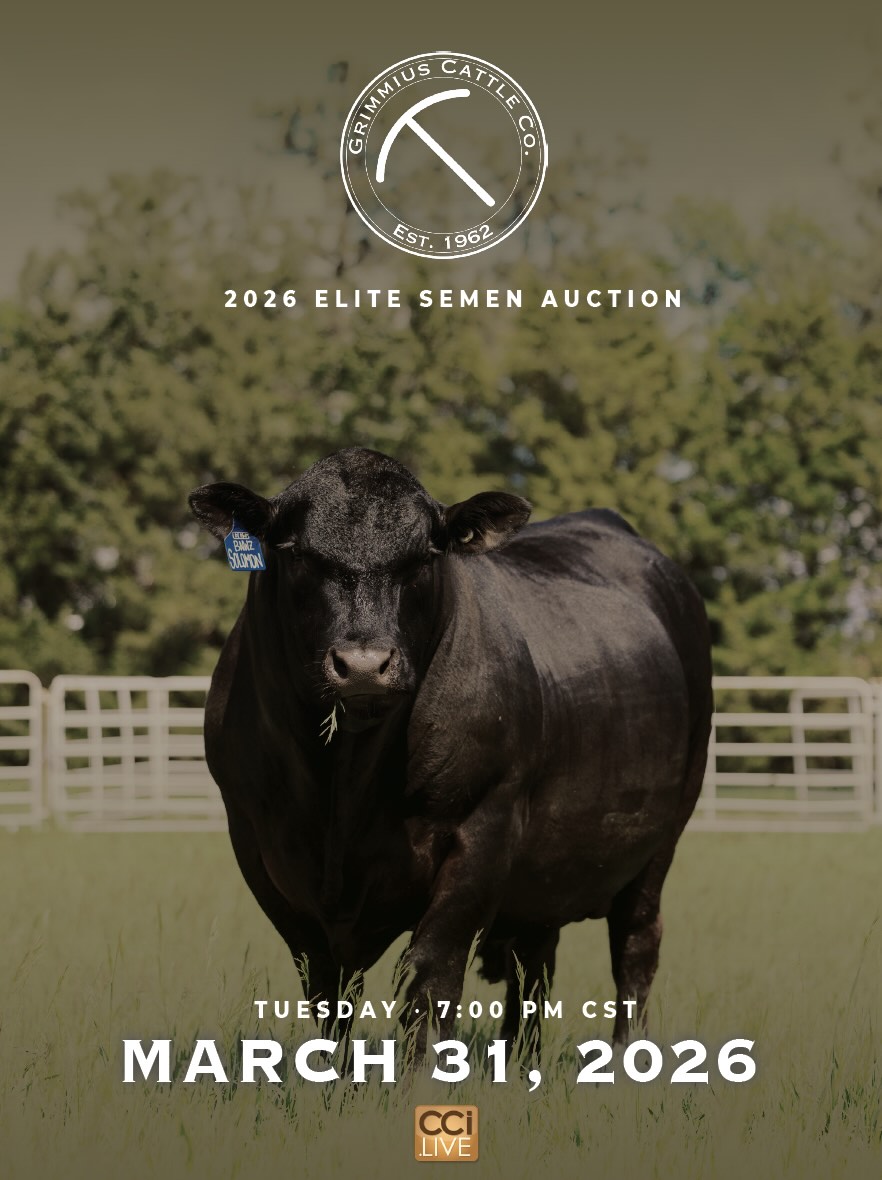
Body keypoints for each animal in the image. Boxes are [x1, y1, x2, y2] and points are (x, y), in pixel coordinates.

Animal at [188, 446, 712, 1059]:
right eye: (292, 549)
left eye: (428, 553)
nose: (363, 664)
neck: (344, 778)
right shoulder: (257, 842)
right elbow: (326, 987)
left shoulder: (484, 825)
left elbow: (430, 972)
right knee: (534, 961)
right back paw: (518, 1059)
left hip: (661, 838)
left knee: (635, 946)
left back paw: (630, 1056)